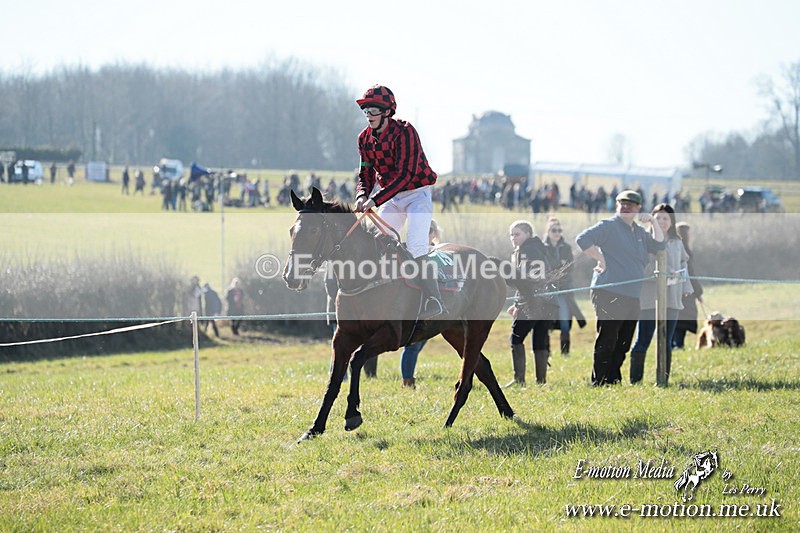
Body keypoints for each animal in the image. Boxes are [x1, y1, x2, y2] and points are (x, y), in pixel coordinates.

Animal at [283, 188, 517, 442]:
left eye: (314, 230)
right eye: (291, 231)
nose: (291, 277)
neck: (365, 276)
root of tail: (490, 261)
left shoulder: (392, 335)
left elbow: (356, 360)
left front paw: (352, 414)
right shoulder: (343, 336)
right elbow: (333, 381)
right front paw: (314, 428)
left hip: (478, 327)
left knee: (466, 379)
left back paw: (448, 422)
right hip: (453, 330)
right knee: (483, 366)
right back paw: (508, 412)